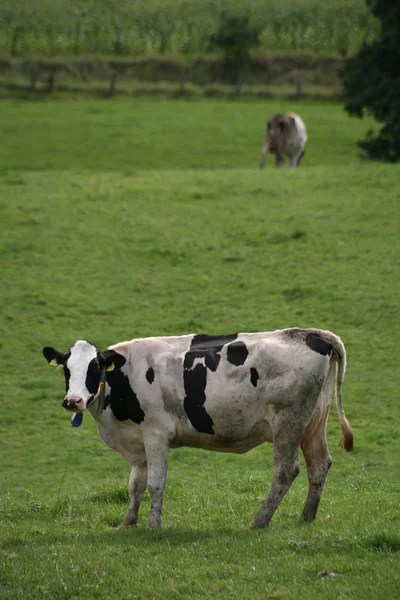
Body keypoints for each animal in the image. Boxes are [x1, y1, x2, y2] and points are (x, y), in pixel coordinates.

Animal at [43, 328, 354, 528]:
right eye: (67, 369)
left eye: (94, 368)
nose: (73, 401)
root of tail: (311, 333)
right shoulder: (138, 441)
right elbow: (134, 485)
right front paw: (128, 522)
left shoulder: (156, 433)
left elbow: (155, 483)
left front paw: (153, 525)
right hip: (313, 422)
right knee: (319, 464)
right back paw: (306, 517)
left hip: (288, 422)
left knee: (286, 471)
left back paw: (260, 520)